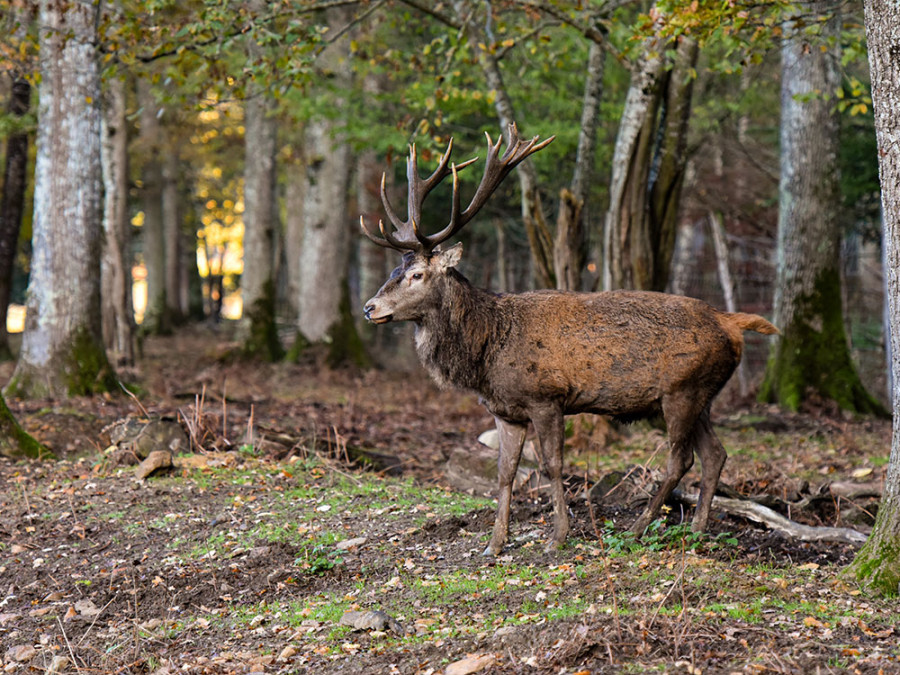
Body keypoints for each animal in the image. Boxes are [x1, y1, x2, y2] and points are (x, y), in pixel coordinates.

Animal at [358, 124, 772, 556]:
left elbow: (552, 466)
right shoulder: (505, 411)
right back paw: (696, 530)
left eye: (417, 274)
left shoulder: (547, 397)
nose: (369, 308)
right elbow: (504, 472)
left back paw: (638, 528)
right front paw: (495, 544)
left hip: (682, 390)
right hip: (702, 394)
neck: (486, 350)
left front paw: (557, 536)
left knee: (681, 460)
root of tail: (730, 321)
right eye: (393, 270)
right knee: (716, 454)